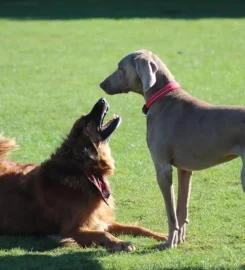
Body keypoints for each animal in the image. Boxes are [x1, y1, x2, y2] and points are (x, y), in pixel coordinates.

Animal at [0, 97, 167, 251]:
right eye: (87, 120)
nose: (102, 99)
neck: (85, 172)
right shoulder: (71, 230)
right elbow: (103, 234)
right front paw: (121, 243)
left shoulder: (102, 220)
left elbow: (137, 228)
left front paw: (163, 236)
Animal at [100, 49, 245, 248]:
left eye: (121, 68)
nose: (102, 84)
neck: (164, 98)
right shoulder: (185, 170)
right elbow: (182, 210)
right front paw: (180, 240)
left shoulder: (163, 169)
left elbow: (171, 214)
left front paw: (169, 243)